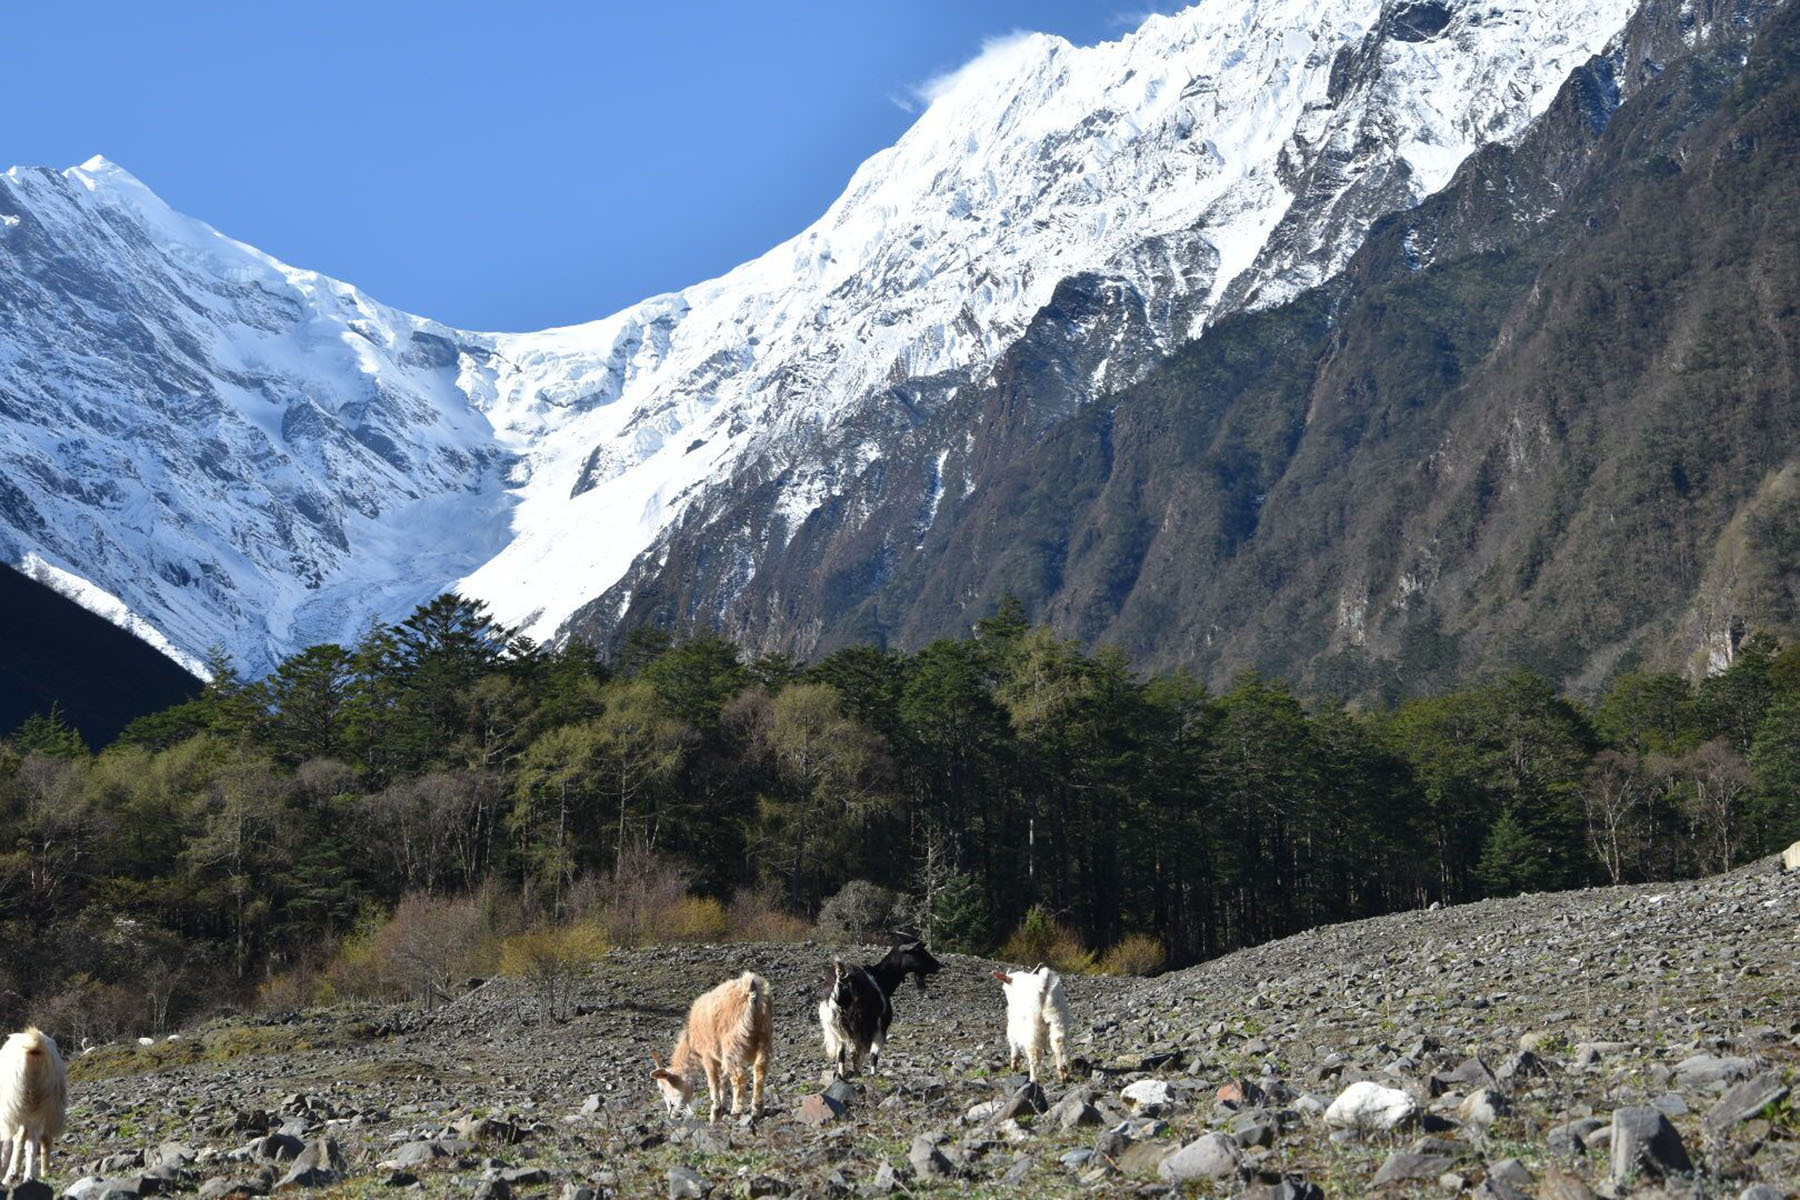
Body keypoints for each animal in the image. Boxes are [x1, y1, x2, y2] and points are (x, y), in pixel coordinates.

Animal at [0, 1029, 66, 1187]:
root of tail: (36, 1046)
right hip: (47, 1103)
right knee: (39, 1139)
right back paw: (36, 1174)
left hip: (17, 1103)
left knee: (20, 1139)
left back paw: (11, 1176)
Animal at [651, 971, 770, 1122]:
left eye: (662, 1089)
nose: (672, 1115)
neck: (691, 1040)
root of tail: (750, 987)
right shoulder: (719, 1057)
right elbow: (724, 1079)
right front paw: (722, 1107)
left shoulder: (707, 1054)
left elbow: (713, 1081)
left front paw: (715, 1113)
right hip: (765, 1035)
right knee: (760, 1068)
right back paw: (757, 1110)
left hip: (732, 1042)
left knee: (739, 1076)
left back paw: (736, 1112)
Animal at [817, 935, 943, 1079]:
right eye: (919, 951)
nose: (938, 965)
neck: (880, 977)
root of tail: (841, 978)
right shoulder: (880, 1026)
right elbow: (873, 1055)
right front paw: (872, 1074)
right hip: (857, 1023)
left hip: (833, 1025)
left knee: (841, 1052)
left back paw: (842, 1075)